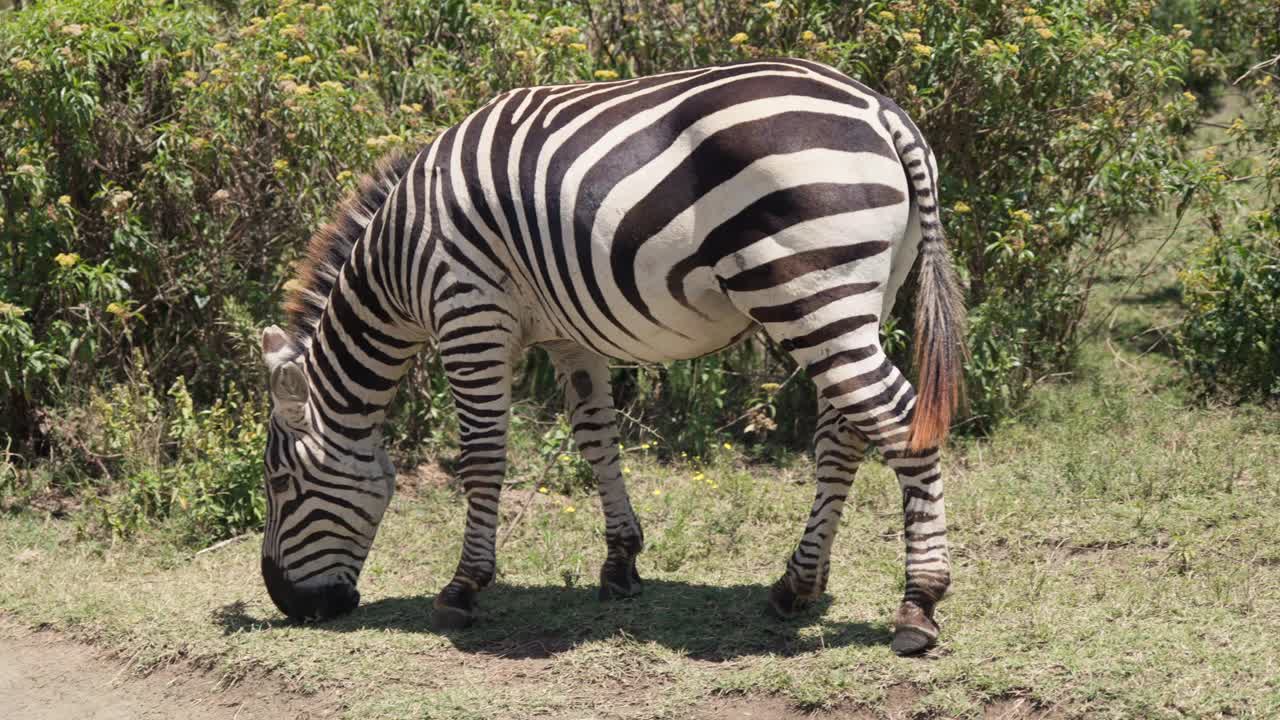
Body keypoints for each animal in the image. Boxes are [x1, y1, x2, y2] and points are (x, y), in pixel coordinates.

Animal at [258, 57, 965, 656]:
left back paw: (918, 605)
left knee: (899, 421)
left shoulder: (468, 311)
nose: (290, 605)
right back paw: (798, 585)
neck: (400, 258)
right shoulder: (569, 333)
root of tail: (883, 112)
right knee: (844, 433)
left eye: (280, 483)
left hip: (807, 289)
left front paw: (463, 588)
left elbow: (482, 459)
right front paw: (621, 563)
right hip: (860, 296)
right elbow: (596, 438)